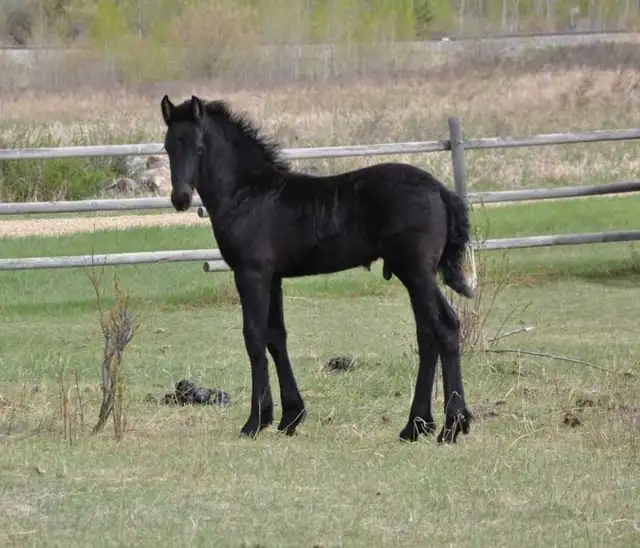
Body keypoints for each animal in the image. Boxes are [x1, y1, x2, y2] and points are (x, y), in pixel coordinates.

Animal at [160, 94, 476, 443]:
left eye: (199, 145)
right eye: (168, 146)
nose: (180, 198)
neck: (247, 193)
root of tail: (440, 191)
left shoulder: (251, 274)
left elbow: (254, 337)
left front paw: (255, 421)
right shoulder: (273, 278)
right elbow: (276, 337)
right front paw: (289, 417)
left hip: (417, 271)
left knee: (444, 326)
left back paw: (451, 425)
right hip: (413, 274)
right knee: (427, 334)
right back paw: (416, 426)